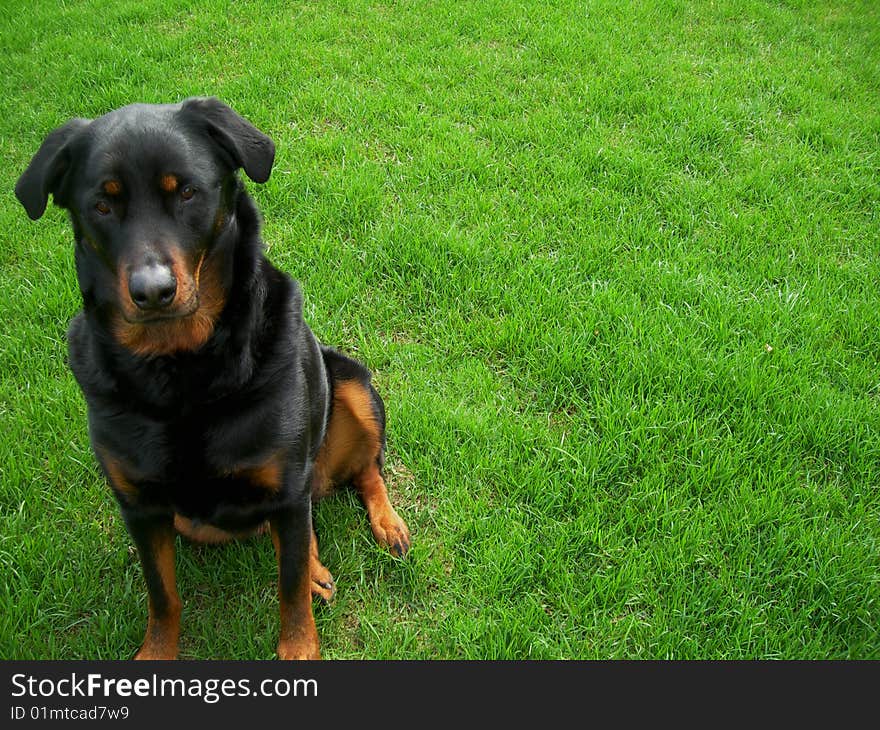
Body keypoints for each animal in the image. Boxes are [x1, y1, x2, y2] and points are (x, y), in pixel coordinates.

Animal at [13, 96, 410, 660]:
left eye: (187, 193)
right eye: (102, 206)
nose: (152, 291)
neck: (180, 372)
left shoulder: (286, 485)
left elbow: (289, 591)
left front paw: (299, 649)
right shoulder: (141, 507)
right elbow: (162, 595)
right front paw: (155, 655)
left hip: (351, 384)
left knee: (364, 472)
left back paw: (387, 524)